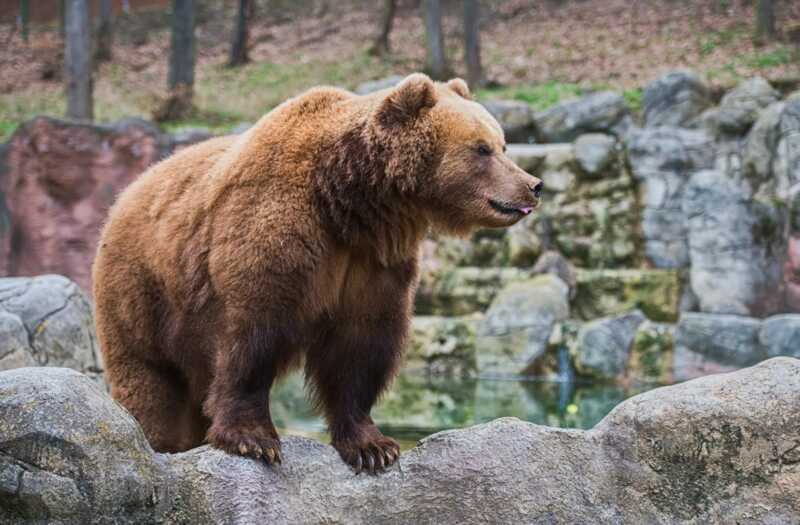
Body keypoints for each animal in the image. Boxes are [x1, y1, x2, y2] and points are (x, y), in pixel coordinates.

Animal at [92, 72, 544, 470]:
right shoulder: (275, 235)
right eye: (482, 148)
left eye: (503, 144)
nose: (533, 185)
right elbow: (251, 336)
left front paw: (371, 447)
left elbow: (361, 345)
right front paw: (254, 440)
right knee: (152, 384)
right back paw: (157, 441)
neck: (349, 201)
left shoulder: (371, 263)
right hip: (143, 295)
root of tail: (125, 195)